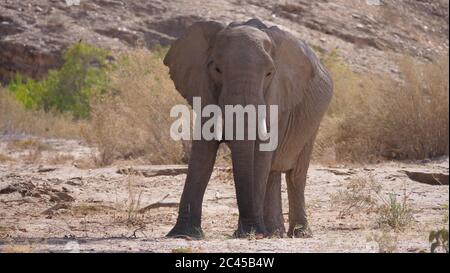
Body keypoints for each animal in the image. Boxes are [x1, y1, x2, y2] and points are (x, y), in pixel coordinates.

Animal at [163, 18, 332, 237]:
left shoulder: (278, 93)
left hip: (313, 119)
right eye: (217, 70)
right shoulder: (204, 87)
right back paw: (274, 233)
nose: (250, 228)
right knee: (273, 173)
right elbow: (202, 153)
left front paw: (250, 232)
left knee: (295, 174)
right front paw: (184, 234)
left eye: (269, 73)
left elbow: (261, 154)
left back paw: (297, 234)